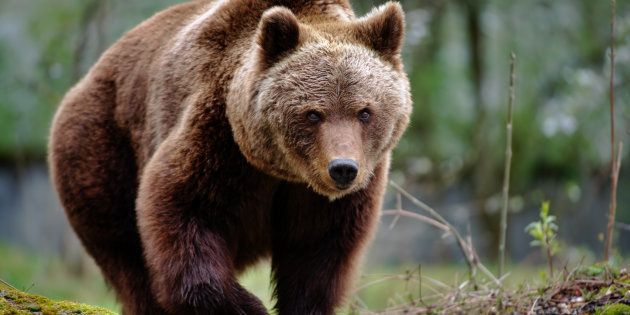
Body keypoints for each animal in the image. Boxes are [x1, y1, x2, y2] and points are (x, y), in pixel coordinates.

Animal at [49, 1, 414, 314]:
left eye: (365, 111)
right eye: (313, 114)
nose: (342, 169)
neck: (282, 171)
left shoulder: (330, 196)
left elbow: (317, 253)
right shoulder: (219, 141)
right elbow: (182, 212)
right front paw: (249, 306)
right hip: (101, 147)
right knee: (124, 250)